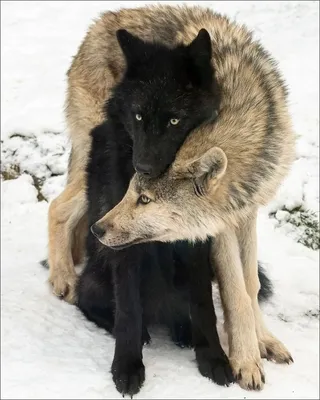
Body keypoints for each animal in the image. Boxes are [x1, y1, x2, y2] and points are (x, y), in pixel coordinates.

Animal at [88, 16, 298, 390]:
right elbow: (234, 292)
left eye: (174, 120)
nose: (97, 228)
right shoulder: (219, 228)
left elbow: (247, 286)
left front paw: (253, 345)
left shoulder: (243, 213)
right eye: (139, 117)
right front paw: (245, 361)